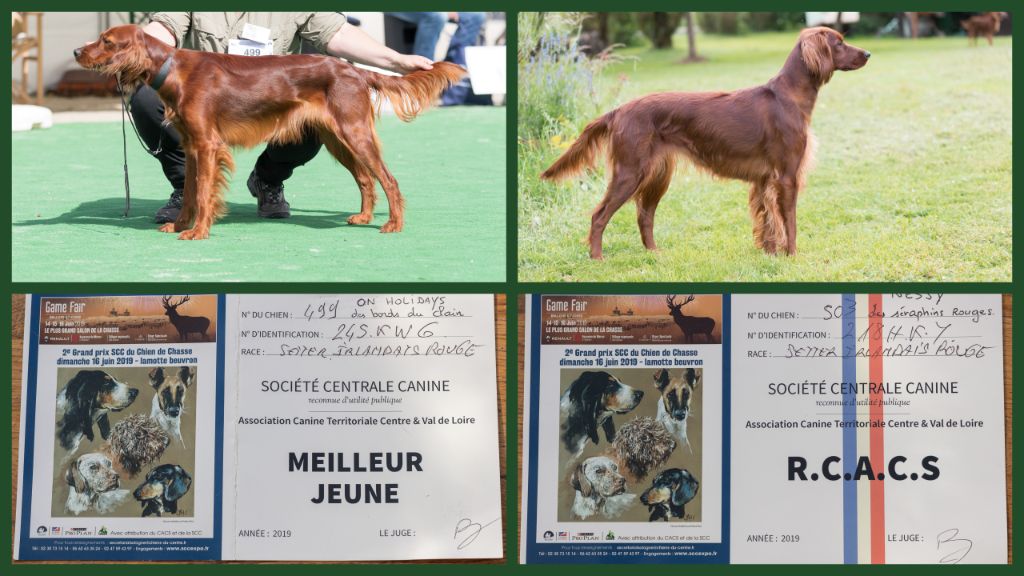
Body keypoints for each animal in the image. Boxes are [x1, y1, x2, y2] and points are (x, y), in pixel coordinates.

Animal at [75, 24, 464, 238]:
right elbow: (188, 193)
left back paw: (393, 224)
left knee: (388, 179)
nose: (78, 50)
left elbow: (203, 195)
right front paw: (180, 225)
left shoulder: (207, 144)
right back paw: (364, 216)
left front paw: (198, 232)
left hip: (354, 132)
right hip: (336, 138)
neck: (172, 69)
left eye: (107, 41)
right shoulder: (192, 146)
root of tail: (354, 70)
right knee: (367, 179)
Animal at [544, 28, 872, 256]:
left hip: (657, 174)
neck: (789, 95)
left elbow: (768, 220)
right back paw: (597, 258)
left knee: (644, 215)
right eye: (839, 43)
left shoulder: (765, 179)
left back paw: (654, 254)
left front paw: (771, 253)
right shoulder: (787, 175)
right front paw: (791, 255)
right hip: (630, 171)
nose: (868, 53)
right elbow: (789, 221)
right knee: (599, 216)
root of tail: (619, 110)